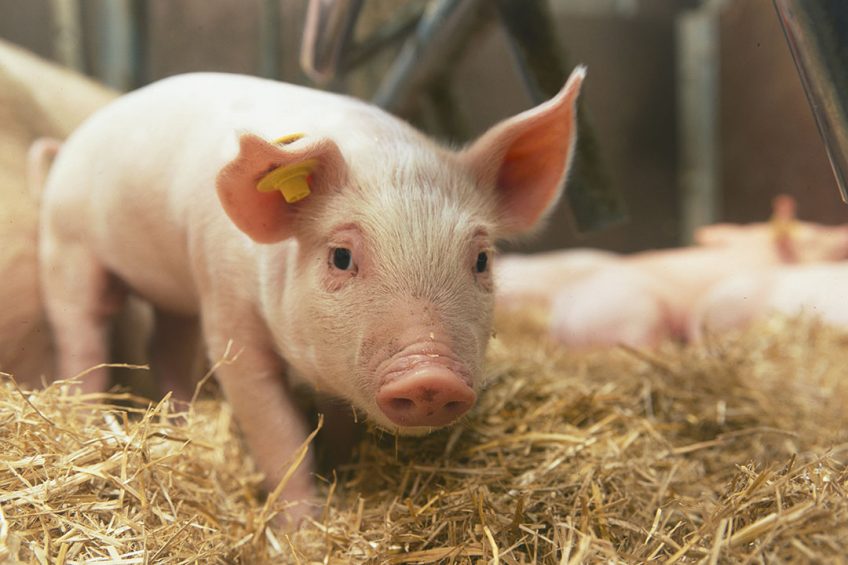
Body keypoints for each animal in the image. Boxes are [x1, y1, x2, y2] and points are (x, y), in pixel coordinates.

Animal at [39, 68, 584, 516]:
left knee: (165, 344)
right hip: (68, 247)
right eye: (340, 256)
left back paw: (183, 417)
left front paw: (343, 477)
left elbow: (338, 419)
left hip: (174, 290)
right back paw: (88, 415)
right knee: (83, 329)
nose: (431, 376)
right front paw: (305, 528)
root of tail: (66, 149)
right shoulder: (227, 306)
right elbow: (278, 433)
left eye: (482, 259)